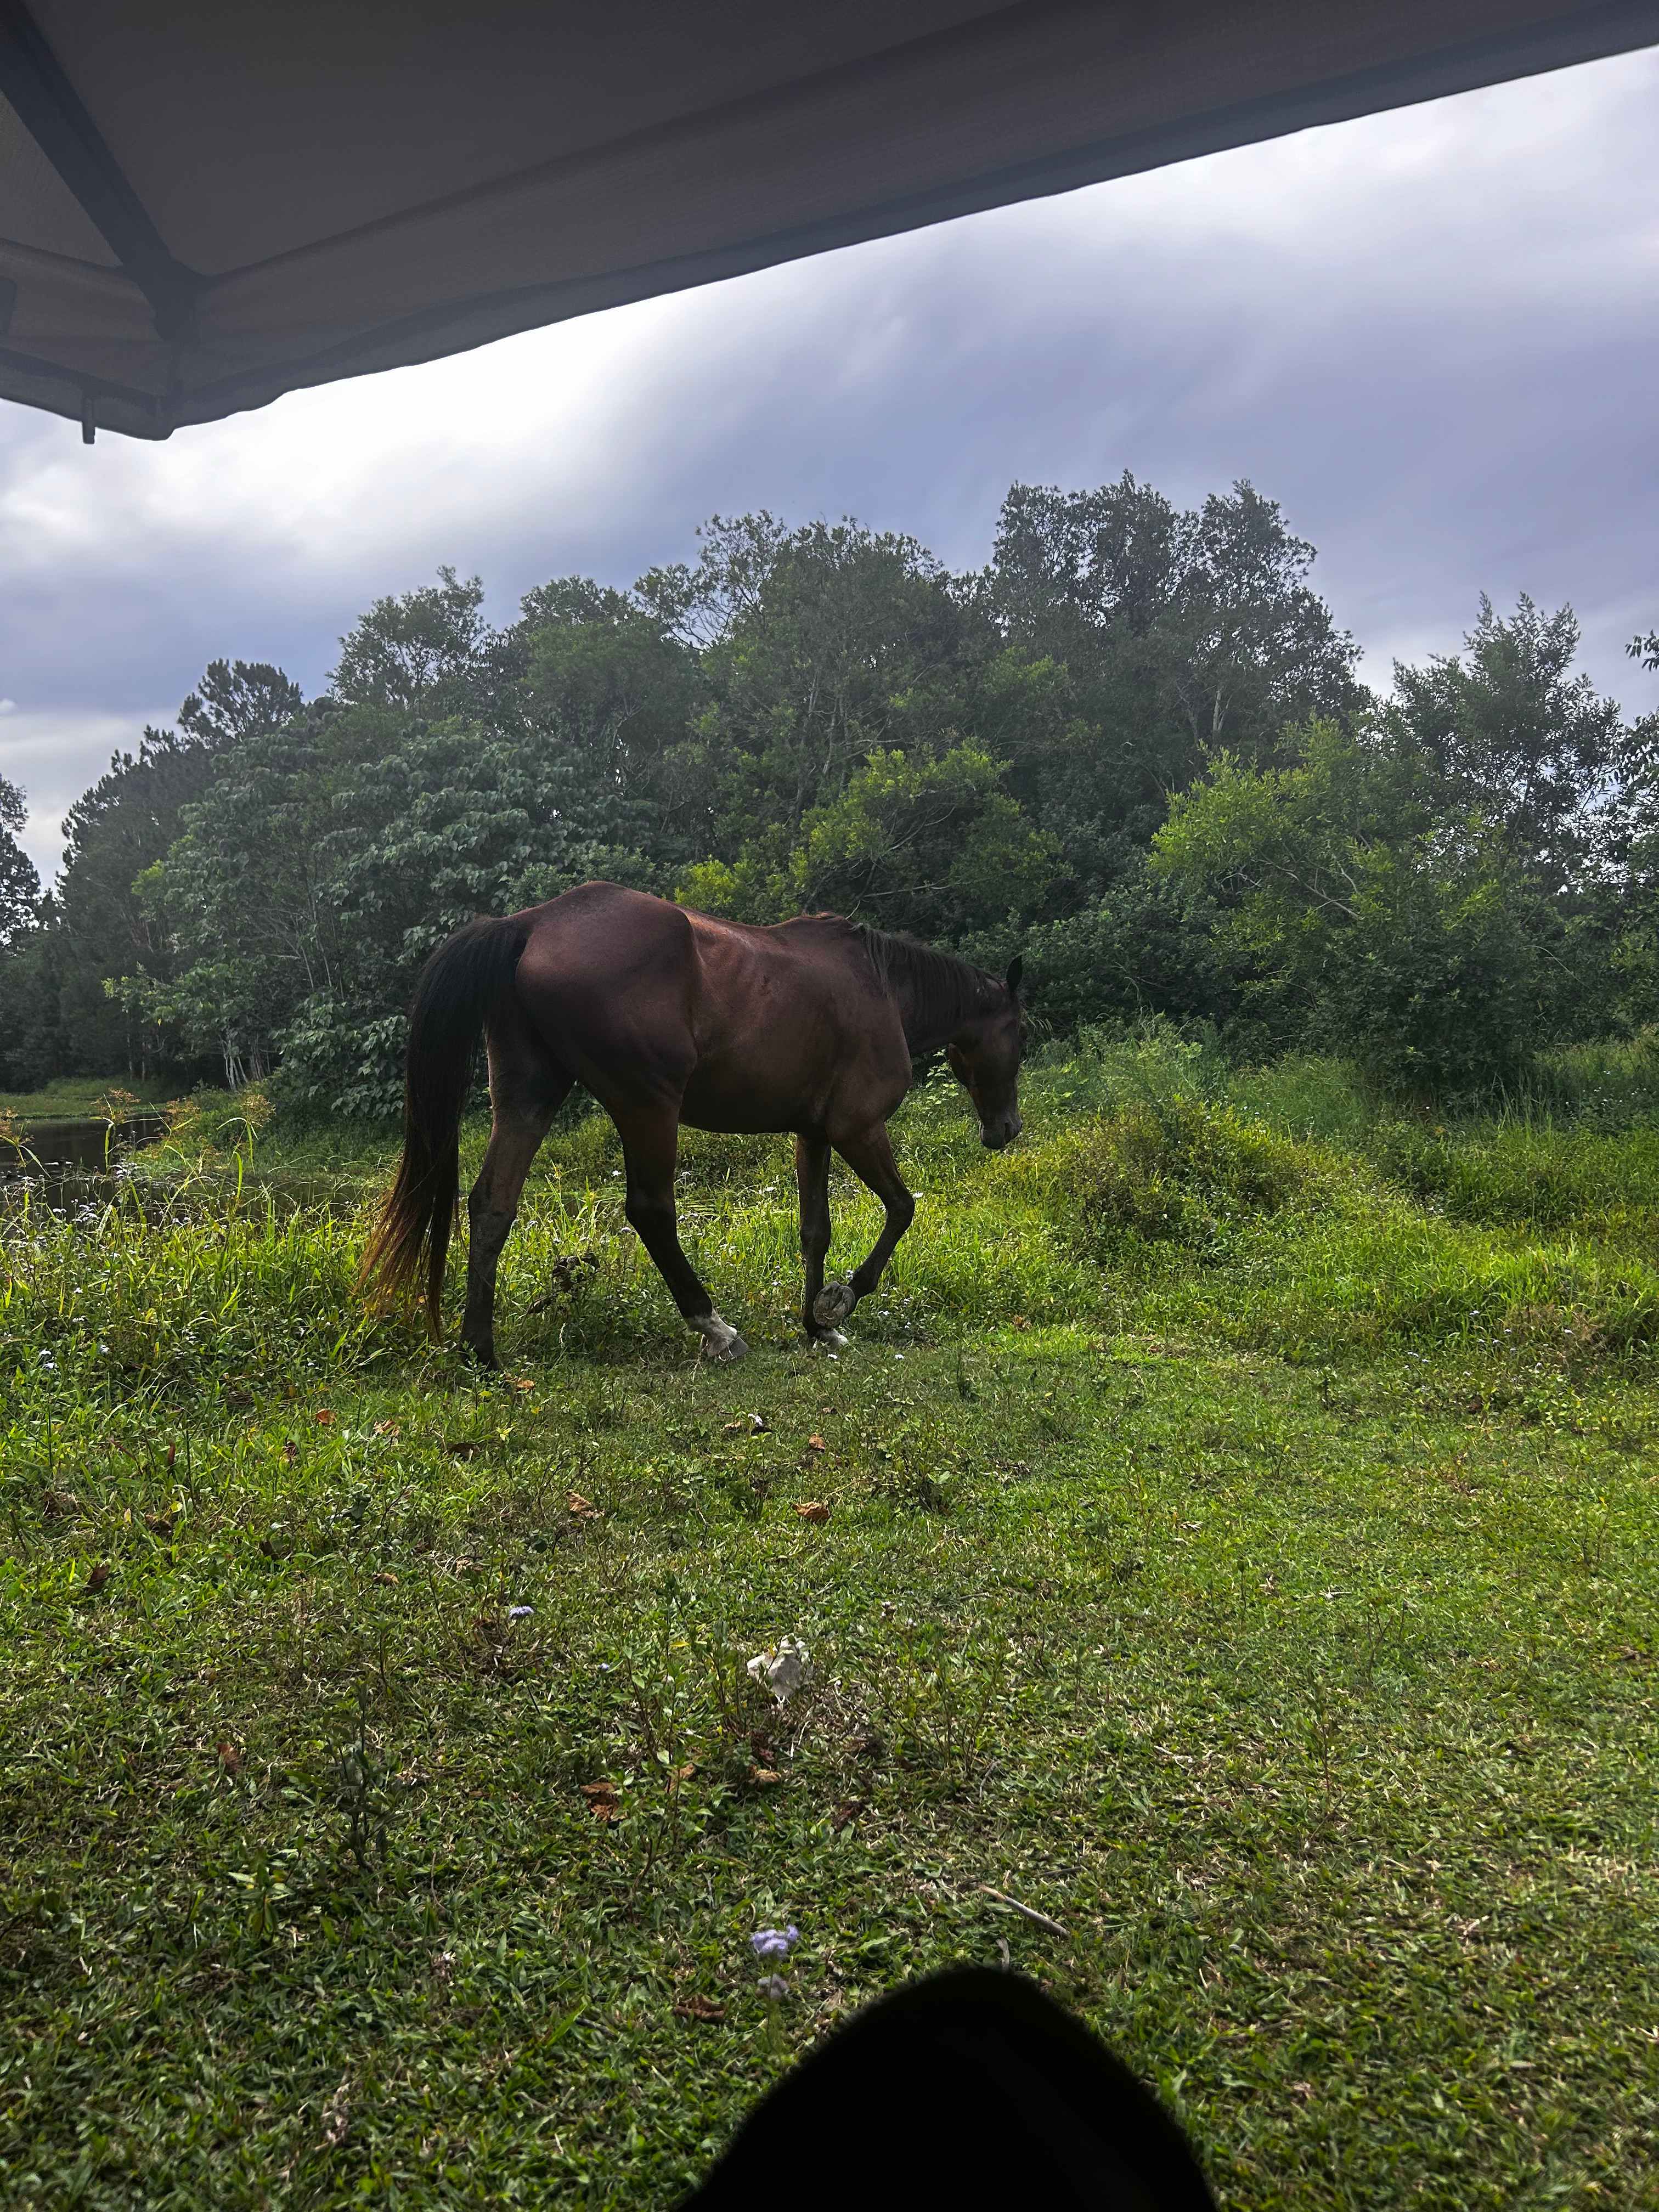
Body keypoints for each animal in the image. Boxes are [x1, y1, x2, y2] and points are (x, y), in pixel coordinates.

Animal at [361, 880, 1026, 1367]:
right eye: (1019, 1033)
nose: (1008, 1130)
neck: (883, 987)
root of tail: (530, 923)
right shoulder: (857, 1129)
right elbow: (901, 1209)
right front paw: (842, 1300)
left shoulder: (812, 1135)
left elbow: (816, 1231)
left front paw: (815, 1325)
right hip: (648, 1105)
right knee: (651, 1210)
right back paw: (713, 1326)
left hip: (530, 1094)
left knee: (492, 1205)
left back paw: (480, 1350)